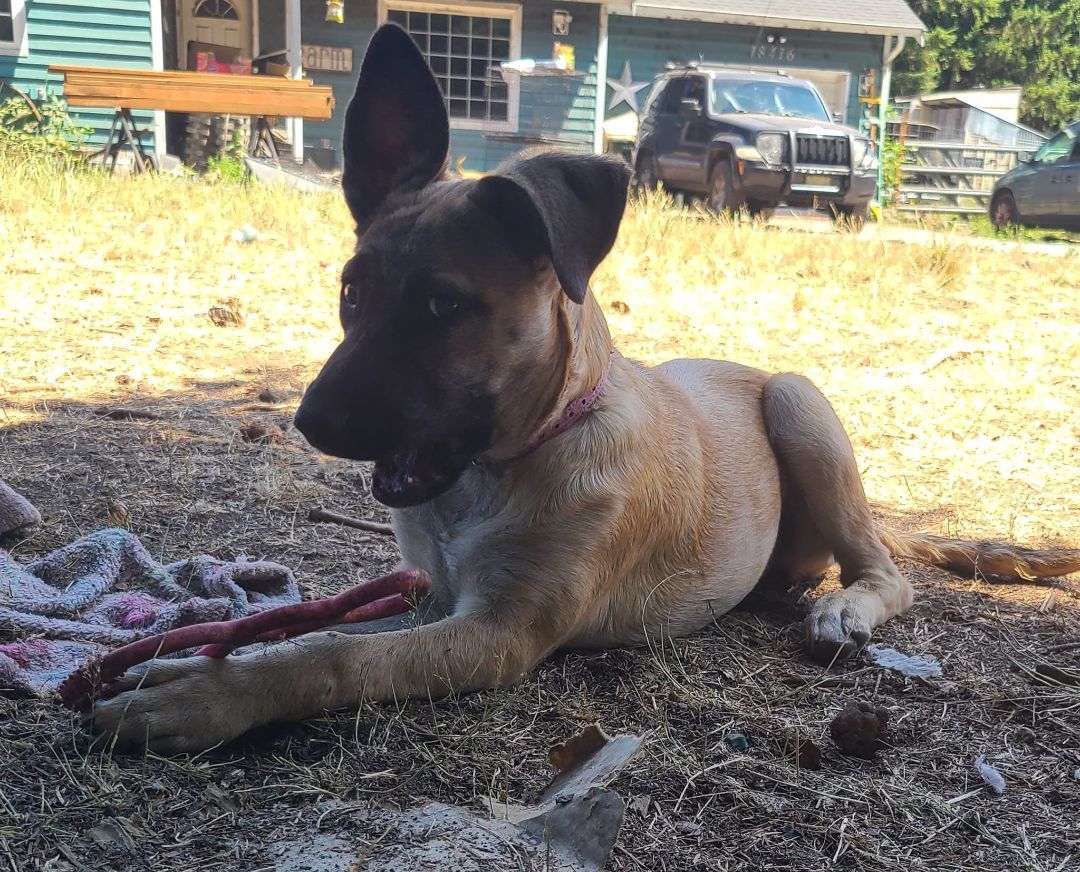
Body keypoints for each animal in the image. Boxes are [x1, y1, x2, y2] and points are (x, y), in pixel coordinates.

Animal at [90, 23, 1080, 752]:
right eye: (350, 292)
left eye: (446, 305)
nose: (311, 423)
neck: (508, 463)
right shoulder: (431, 597)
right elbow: (319, 630)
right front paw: (210, 660)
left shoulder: (497, 635)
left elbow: (331, 661)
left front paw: (205, 698)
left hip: (800, 402)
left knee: (884, 570)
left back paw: (844, 606)